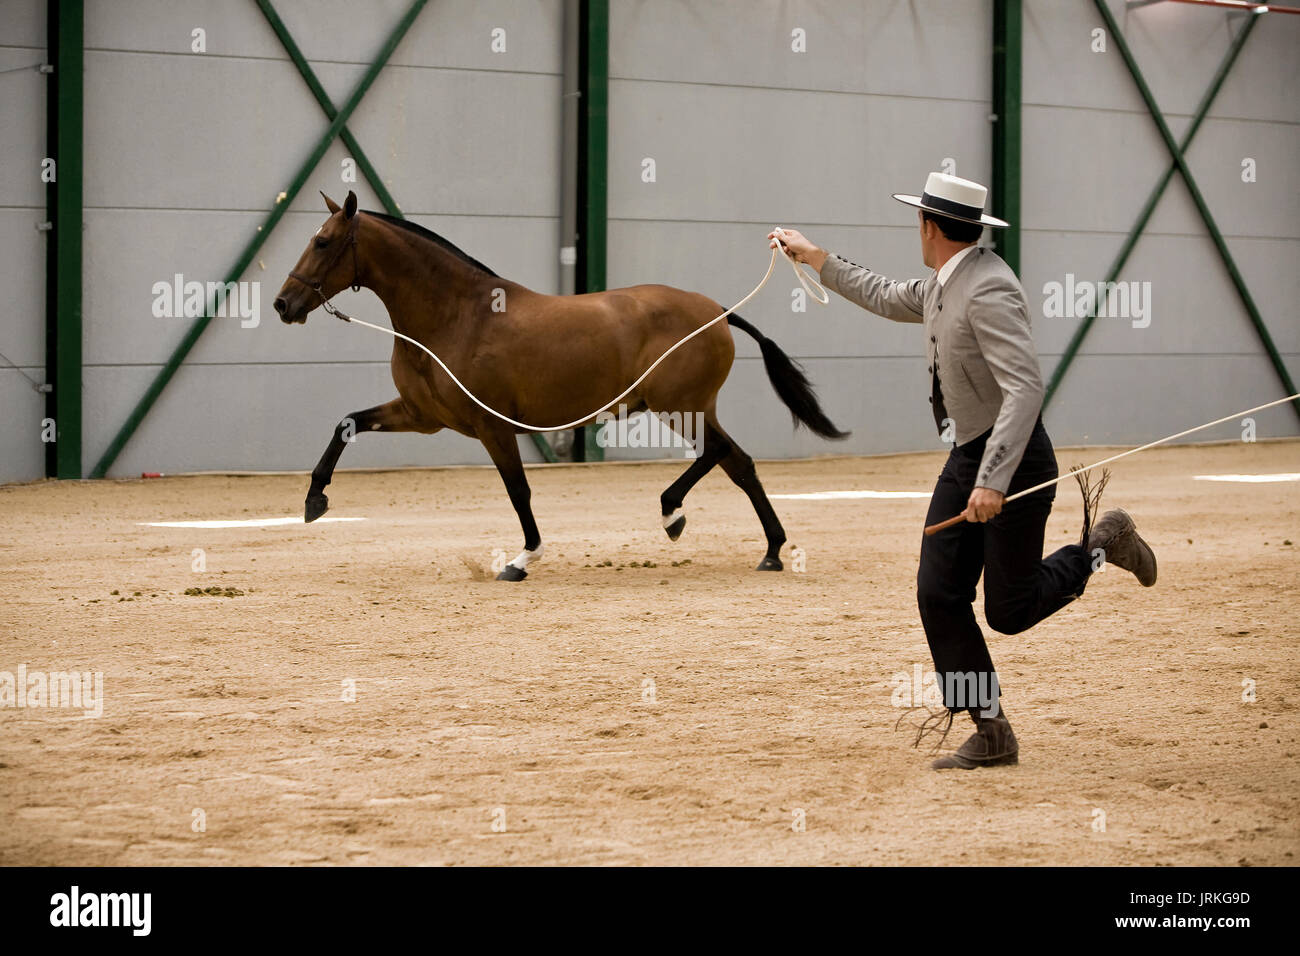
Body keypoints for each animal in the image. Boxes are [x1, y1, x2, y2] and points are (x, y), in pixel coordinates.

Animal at [273, 190, 848, 580]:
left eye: (322, 242)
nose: (282, 304)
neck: (456, 316)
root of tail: (719, 313)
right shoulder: (423, 417)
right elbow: (347, 423)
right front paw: (314, 500)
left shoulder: (492, 426)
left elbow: (518, 490)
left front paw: (523, 558)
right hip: (691, 409)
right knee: (739, 463)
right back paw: (769, 550)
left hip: (680, 408)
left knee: (719, 455)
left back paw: (674, 513)